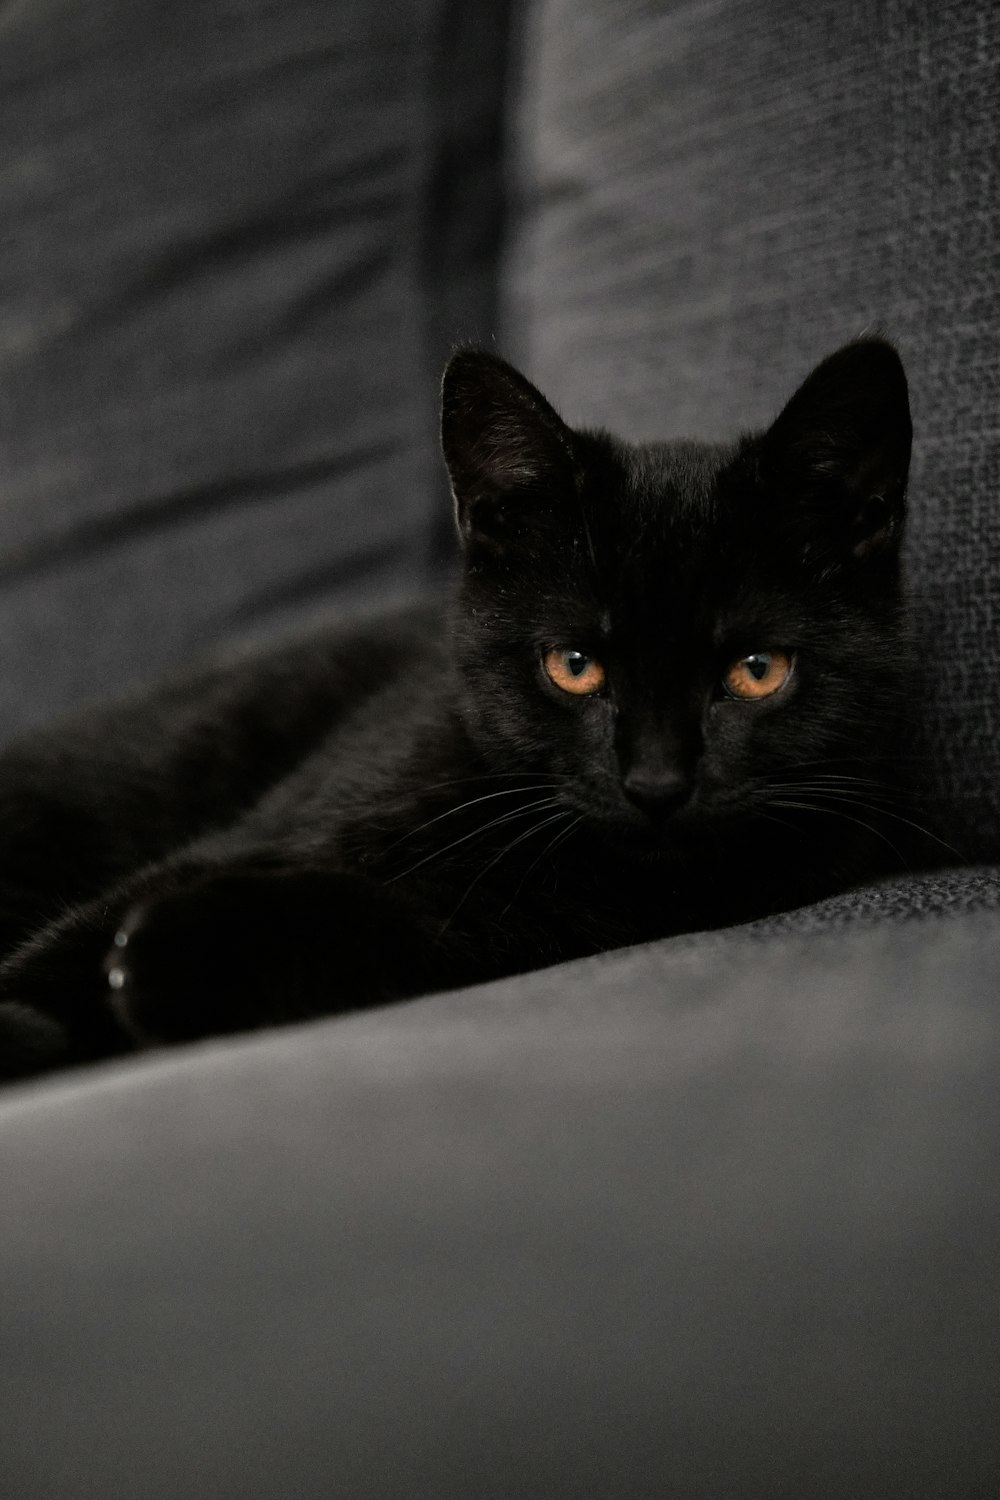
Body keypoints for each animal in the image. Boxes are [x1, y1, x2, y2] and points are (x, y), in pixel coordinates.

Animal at [0, 339, 917, 1080]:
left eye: (758, 672)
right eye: (574, 667)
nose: (656, 783)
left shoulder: (510, 928)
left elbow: (384, 924)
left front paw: (184, 955)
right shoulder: (279, 821)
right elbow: (92, 924)